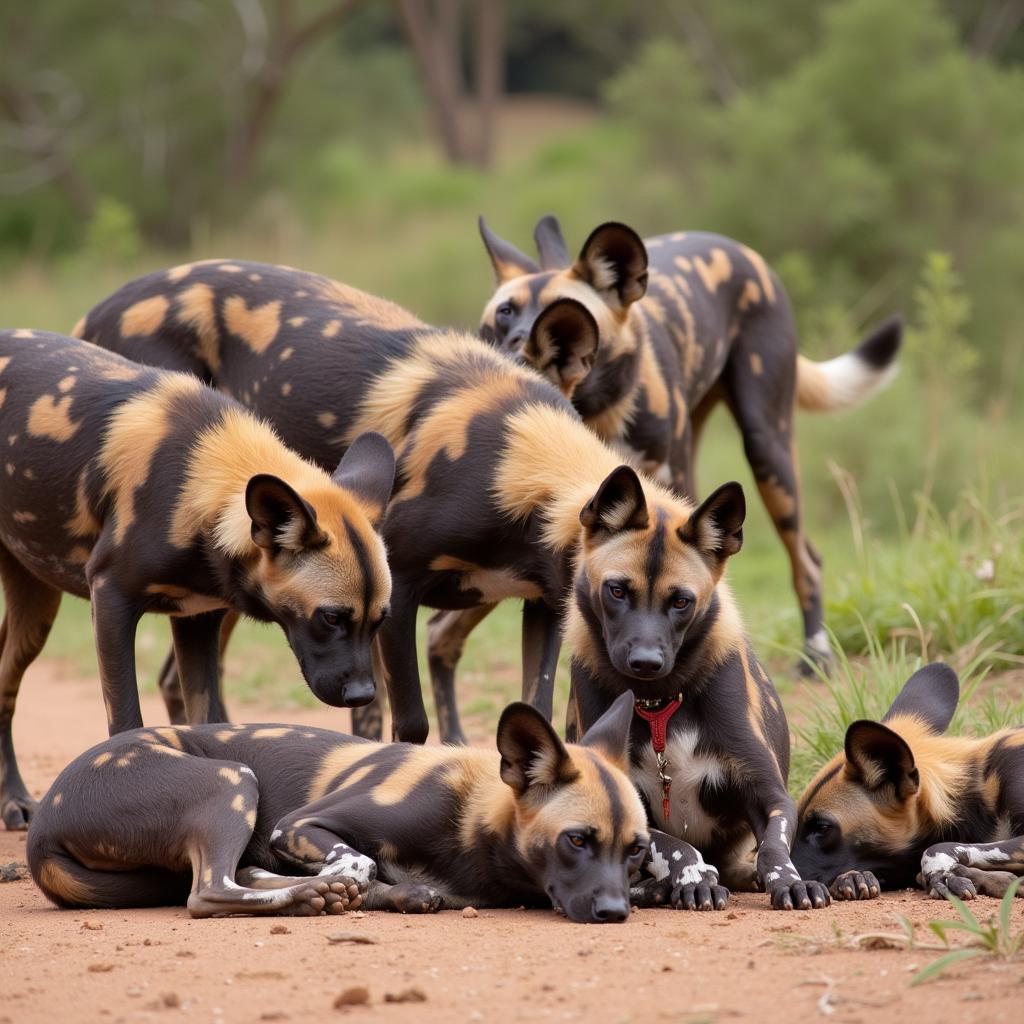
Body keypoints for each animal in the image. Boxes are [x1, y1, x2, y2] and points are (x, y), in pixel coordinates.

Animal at [0, 331, 393, 827]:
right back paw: (14, 800)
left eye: (380, 620)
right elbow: (126, 722)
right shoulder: (110, 601)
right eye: (331, 618)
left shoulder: (196, 622)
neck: (198, 483)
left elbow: (213, 721)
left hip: (35, 613)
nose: (363, 695)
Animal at [29, 692, 655, 925]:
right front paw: (345, 888)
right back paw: (310, 895)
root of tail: (39, 831)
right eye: (577, 840)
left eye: (637, 851)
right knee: (209, 892)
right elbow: (359, 862)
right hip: (233, 783)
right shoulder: (299, 825)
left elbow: (373, 878)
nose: (615, 913)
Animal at [464, 216, 905, 679]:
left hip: (768, 454)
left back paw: (815, 655)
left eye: (566, 315)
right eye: (504, 313)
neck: (597, 410)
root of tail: (741, 250)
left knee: (807, 562)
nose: (519, 344)